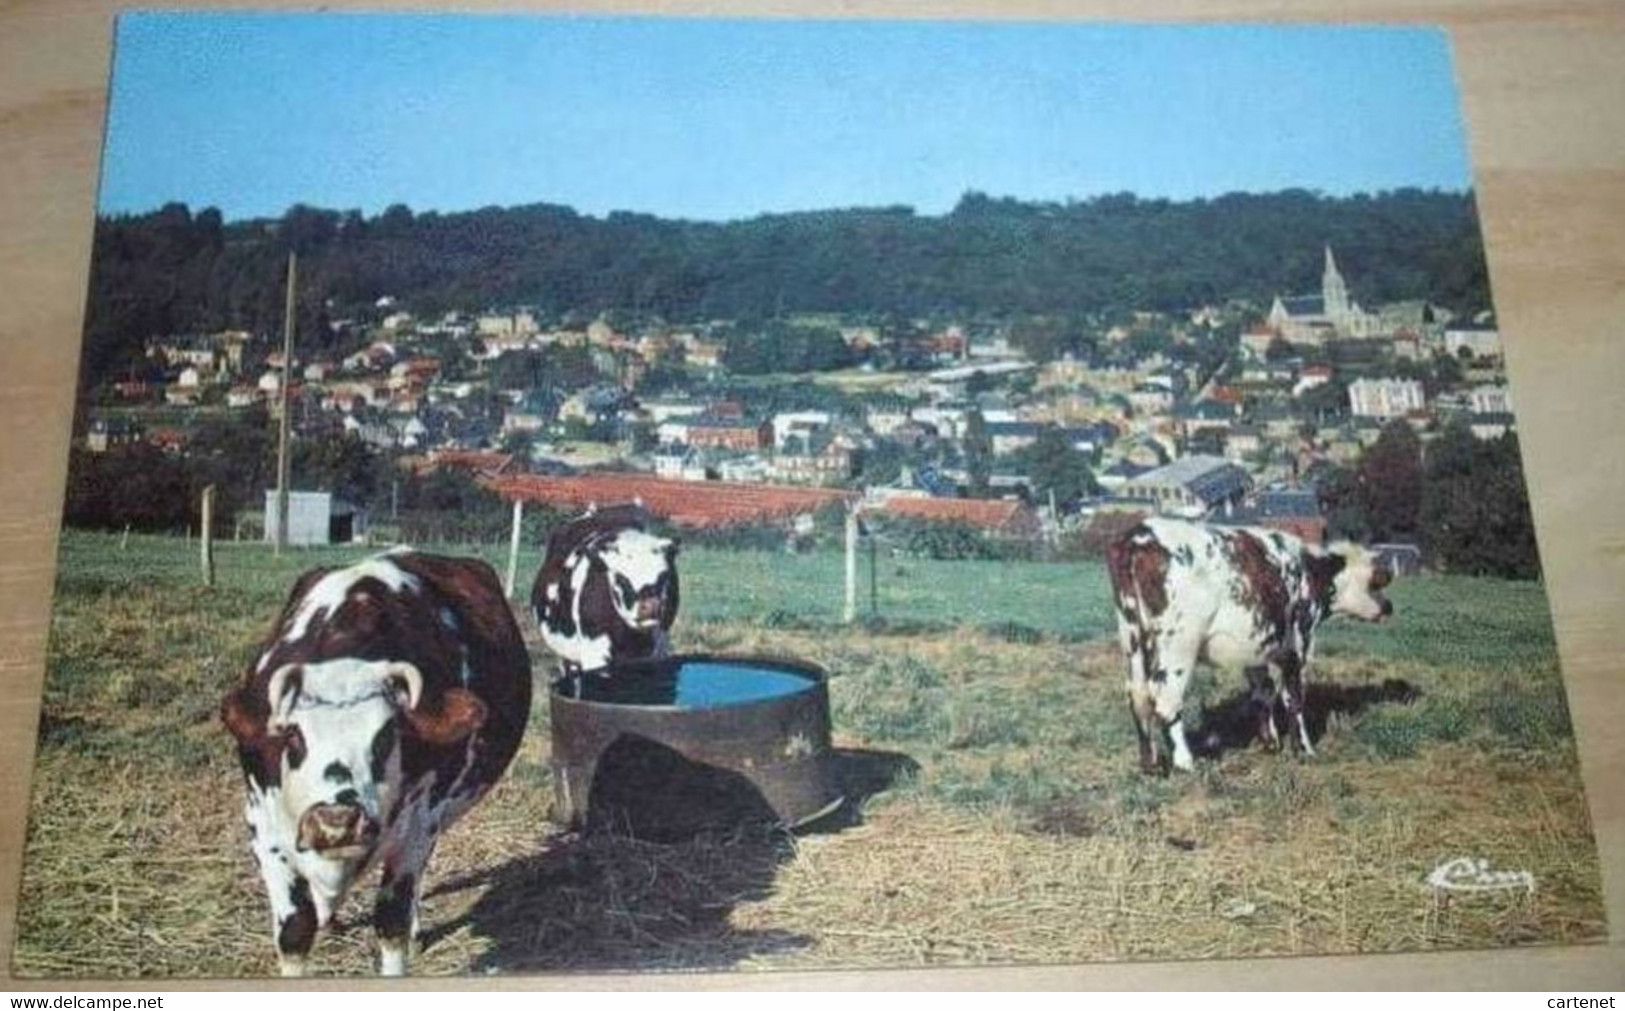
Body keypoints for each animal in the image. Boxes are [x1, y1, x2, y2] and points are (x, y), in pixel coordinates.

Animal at [216, 549, 529, 981]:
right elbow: (295, 932)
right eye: (294, 736)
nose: (336, 821)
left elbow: (392, 924)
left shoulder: (418, 826)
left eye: (385, 737)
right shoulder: (263, 829)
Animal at [1105, 523, 1397, 776]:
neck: (1310, 571)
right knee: (1166, 700)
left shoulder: (1258, 647)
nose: (1389, 607)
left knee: (1138, 697)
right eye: (1375, 582)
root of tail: (1138, 535)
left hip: (1132, 640)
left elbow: (1264, 692)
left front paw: (1271, 743)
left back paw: (1151, 765)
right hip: (1178, 645)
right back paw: (1185, 764)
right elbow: (1294, 697)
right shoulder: (1298, 642)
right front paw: (1303, 750)